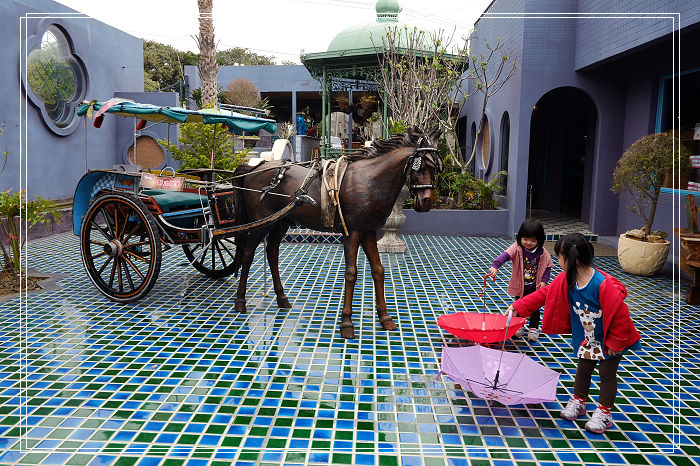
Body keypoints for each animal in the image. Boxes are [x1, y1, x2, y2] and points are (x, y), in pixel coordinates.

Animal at [232, 127, 440, 338]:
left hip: (280, 222)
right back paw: (240, 301)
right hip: (261, 223)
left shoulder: (368, 231)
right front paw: (346, 323)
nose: (426, 202)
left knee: (272, 253)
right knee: (248, 254)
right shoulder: (352, 232)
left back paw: (281, 298)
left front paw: (385, 318)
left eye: (436, 168)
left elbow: (378, 270)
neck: (370, 180)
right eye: (421, 166)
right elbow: (351, 273)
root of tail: (254, 169)